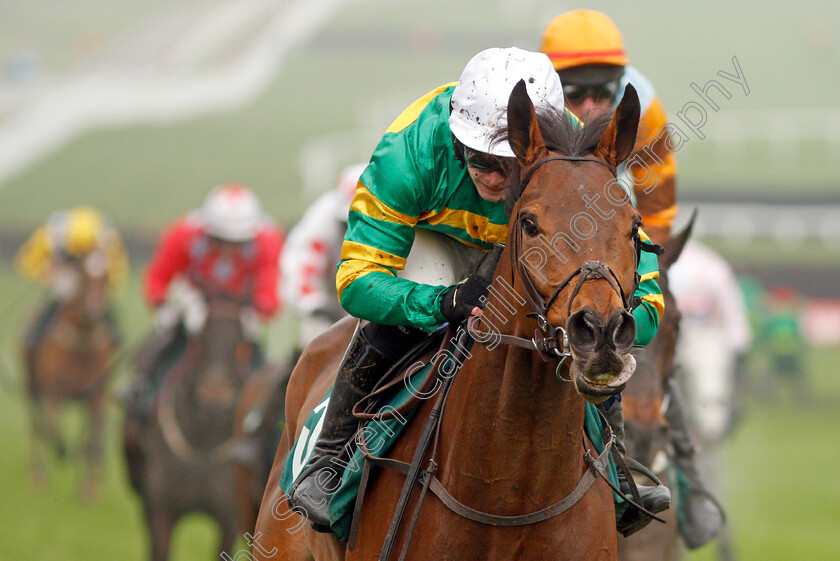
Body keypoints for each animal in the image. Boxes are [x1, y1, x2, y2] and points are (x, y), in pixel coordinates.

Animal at [24, 249, 120, 498]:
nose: (95, 312)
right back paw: (37, 474)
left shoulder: (96, 394)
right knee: (36, 426)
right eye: (84, 278)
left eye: (106, 278)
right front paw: (62, 453)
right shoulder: (53, 392)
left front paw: (89, 487)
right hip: (31, 386)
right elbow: (53, 428)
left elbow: (92, 436)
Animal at [124, 298, 260, 560]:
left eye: (242, 349)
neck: (202, 442)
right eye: (198, 345)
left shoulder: (228, 519)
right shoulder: (161, 511)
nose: (215, 398)